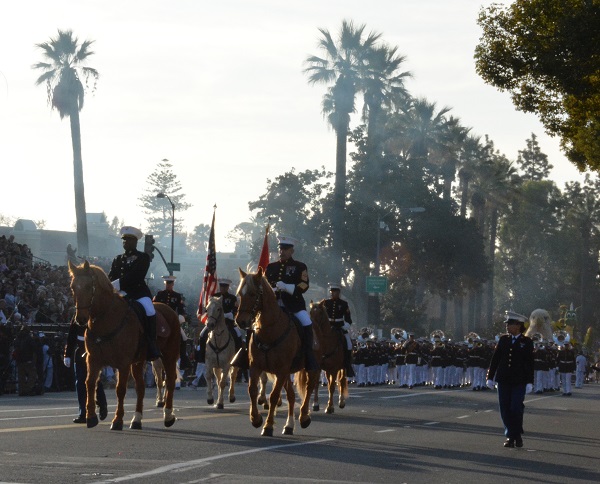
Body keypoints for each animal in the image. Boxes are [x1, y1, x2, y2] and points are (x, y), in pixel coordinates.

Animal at [68, 260, 180, 432]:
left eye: (88, 287)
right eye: (73, 287)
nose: (80, 319)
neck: (107, 320)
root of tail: (170, 310)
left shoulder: (123, 363)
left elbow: (120, 389)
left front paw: (117, 420)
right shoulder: (93, 360)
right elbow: (90, 384)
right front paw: (91, 417)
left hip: (169, 355)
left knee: (170, 381)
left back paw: (168, 416)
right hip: (139, 361)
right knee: (141, 387)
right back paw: (137, 419)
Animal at [234, 266, 322, 436]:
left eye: (253, 294)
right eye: (240, 293)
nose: (241, 321)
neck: (270, 331)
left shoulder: (281, 370)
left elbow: (274, 396)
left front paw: (268, 426)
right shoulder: (256, 366)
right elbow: (252, 390)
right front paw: (256, 419)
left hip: (310, 367)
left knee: (309, 387)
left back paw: (304, 417)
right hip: (287, 373)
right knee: (291, 395)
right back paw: (289, 425)